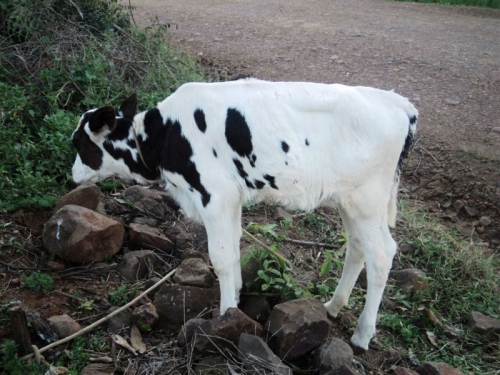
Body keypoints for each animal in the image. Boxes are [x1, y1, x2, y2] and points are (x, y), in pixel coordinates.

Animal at [72, 78, 418, 350]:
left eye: (78, 142)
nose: (73, 175)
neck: (164, 137)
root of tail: (396, 103)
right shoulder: (231, 198)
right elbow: (235, 246)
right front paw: (237, 296)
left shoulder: (214, 195)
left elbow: (221, 257)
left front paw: (226, 313)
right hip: (349, 200)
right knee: (358, 247)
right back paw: (333, 306)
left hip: (367, 200)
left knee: (382, 254)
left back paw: (363, 335)